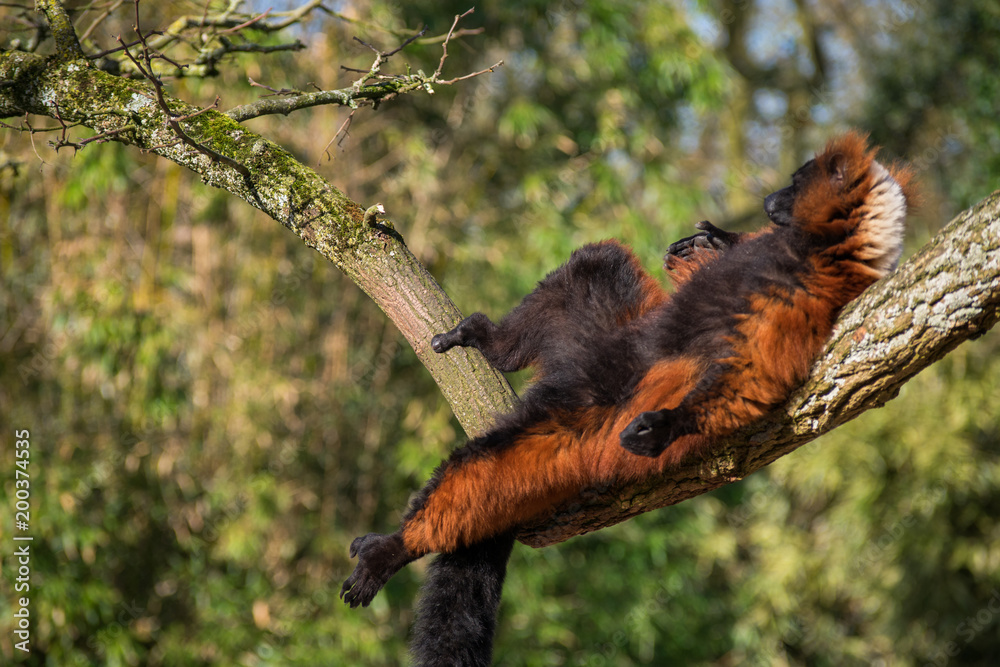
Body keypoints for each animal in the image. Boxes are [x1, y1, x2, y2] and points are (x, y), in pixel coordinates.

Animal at [340, 131, 912, 666]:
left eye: (795, 184)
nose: (772, 199)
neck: (812, 248)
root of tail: (570, 375)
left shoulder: (803, 296)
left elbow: (754, 375)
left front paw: (669, 425)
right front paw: (712, 242)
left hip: (583, 413)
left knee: (499, 458)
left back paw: (394, 548)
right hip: (600, 340)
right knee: (596, 266)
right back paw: (491, 341)